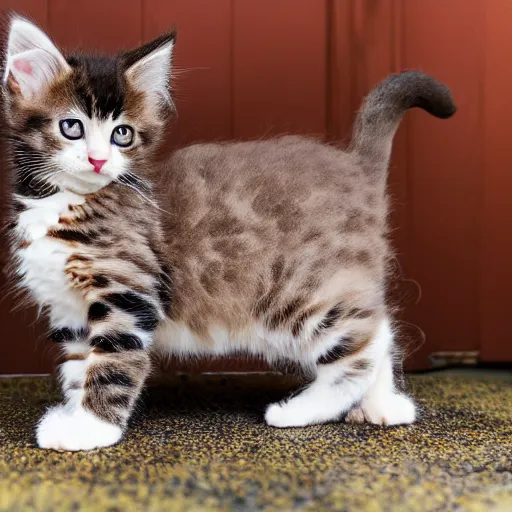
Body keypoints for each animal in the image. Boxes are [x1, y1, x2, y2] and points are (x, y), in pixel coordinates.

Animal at [1, 16, 456, 450]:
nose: (98, 160)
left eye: (122, 133)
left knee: (360, 349)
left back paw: (300, 410)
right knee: (378, 327)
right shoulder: (68, 308)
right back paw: (384, 405)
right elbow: (79, 368)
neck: (64, 201)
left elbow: (112, 363)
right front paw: (73, 414)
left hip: (297, 291)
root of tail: (354, 167)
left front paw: (90, 430)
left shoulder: (128, 290)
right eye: (72, 127)